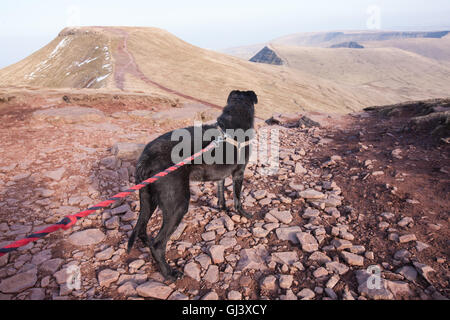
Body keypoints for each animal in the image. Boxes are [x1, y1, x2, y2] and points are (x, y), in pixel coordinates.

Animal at [128, 89, 258, 280]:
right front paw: (244, 214)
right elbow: (238, 199)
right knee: (158, 244)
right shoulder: (238, 174)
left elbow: (221, 195)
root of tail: (146, 158)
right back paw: (169, 273)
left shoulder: (220, 176)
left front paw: (223, 209)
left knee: (143, 228)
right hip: (178, 205)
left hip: (148, 199)